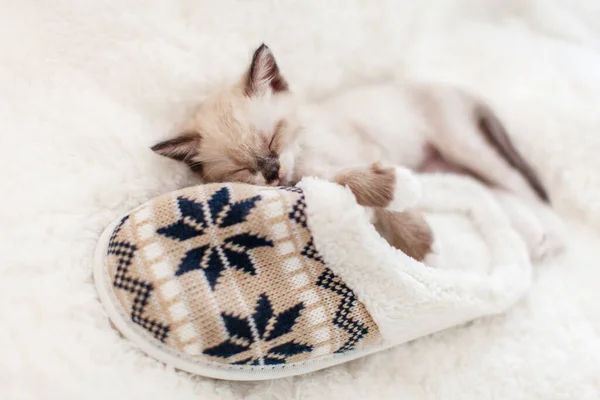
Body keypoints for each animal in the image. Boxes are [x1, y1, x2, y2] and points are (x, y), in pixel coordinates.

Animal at [152, 44, 564, 262]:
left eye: (273, 139)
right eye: (241, 170)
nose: (271, 173)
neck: (302, 158)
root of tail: (452, 86)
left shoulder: (367, 151)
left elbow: (389, 205)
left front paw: (424, 251)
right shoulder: (317, 180)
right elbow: (356, 183)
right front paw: (420, 243)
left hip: (461, 145)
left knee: (517, 184)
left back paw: (550, 232)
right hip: (444, 163)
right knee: (491, 190)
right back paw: (534, 235)